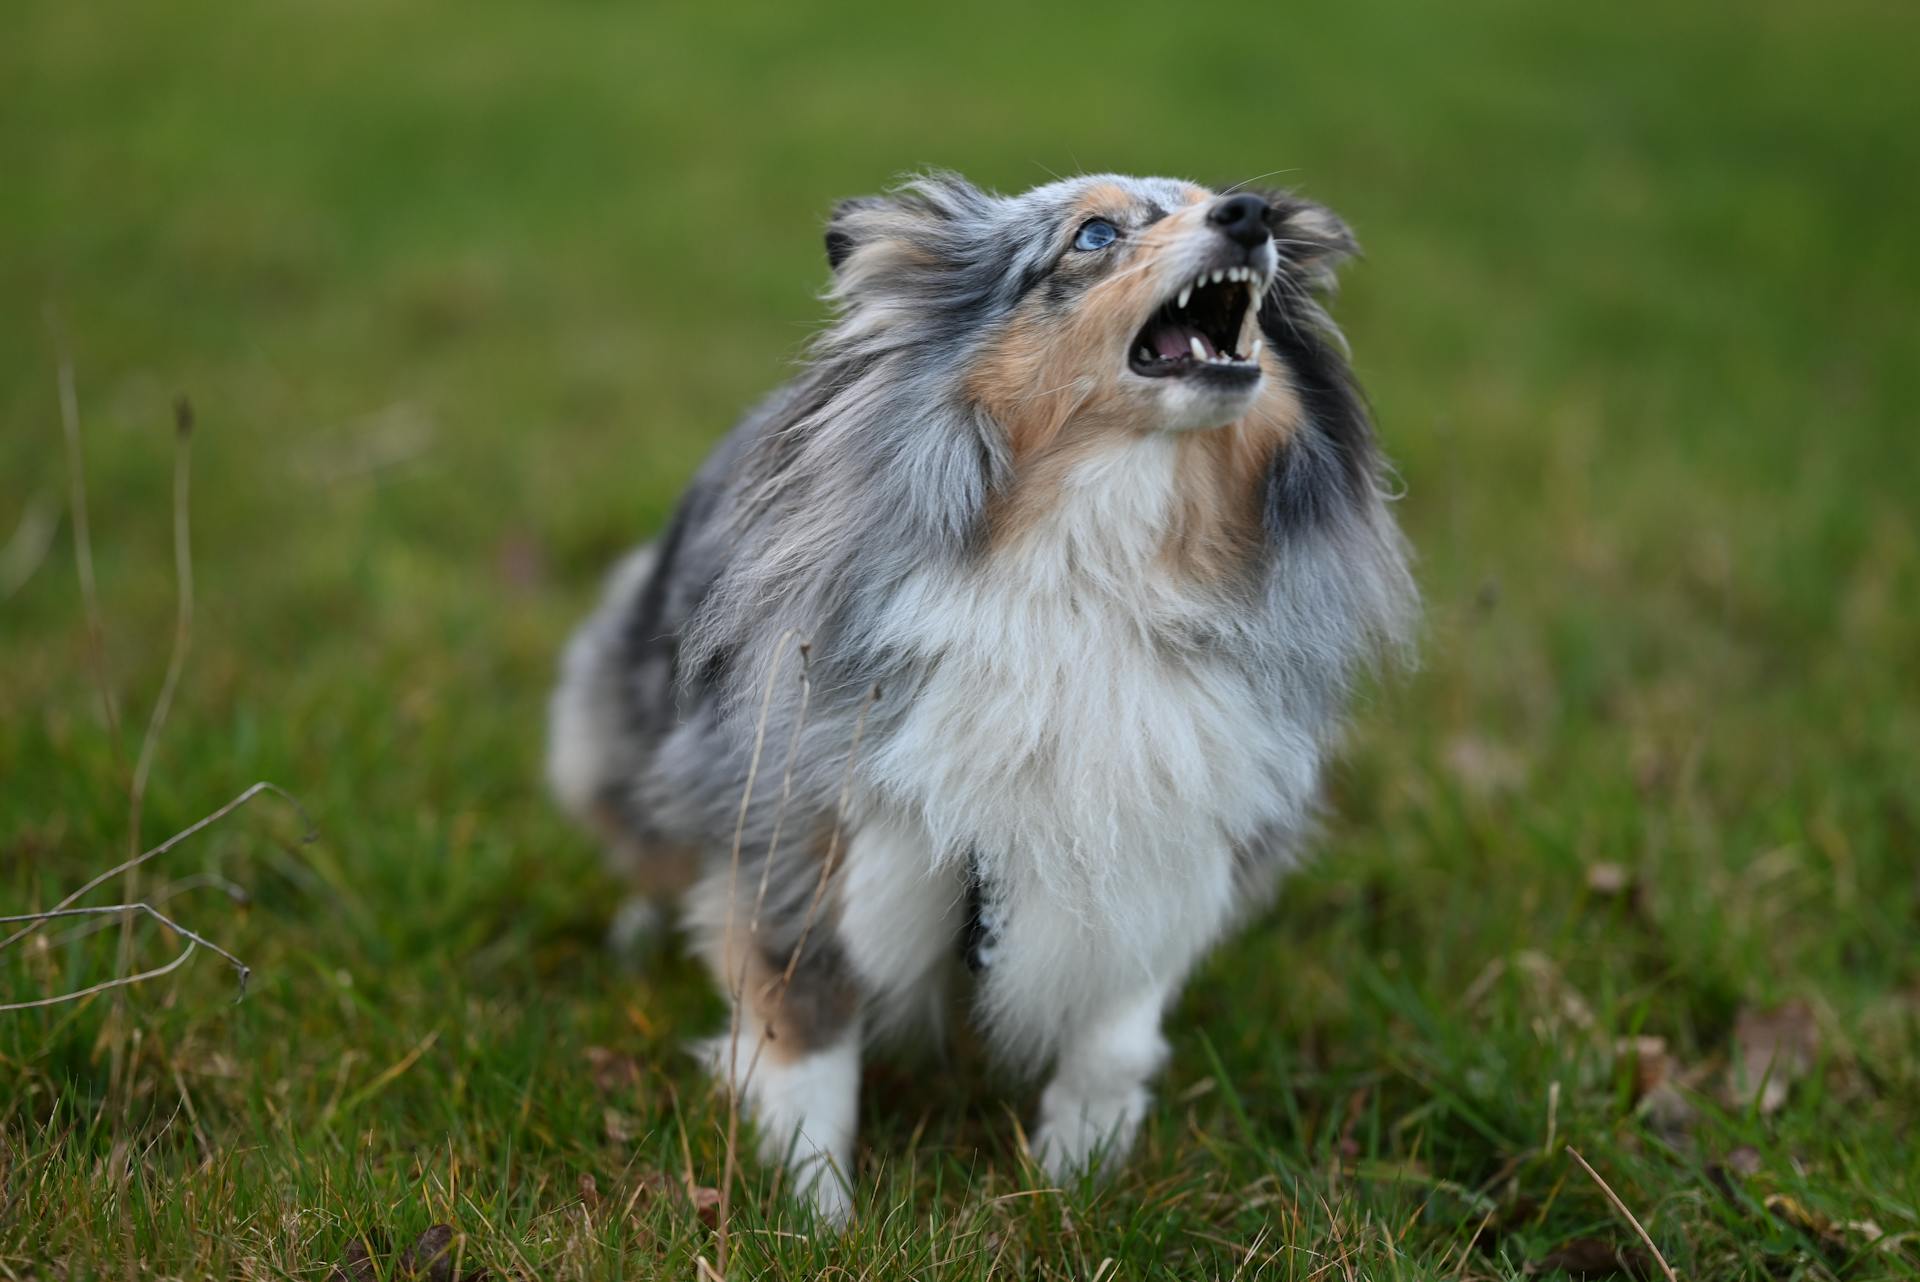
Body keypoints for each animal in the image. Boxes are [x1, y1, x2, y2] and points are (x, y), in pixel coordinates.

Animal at [549, 172, 1420, 1220]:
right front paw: (812, 1215)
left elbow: (1111, 1045)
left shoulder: (1163, 848)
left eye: (1216, 198)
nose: (1247, 214)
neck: (1099, 571)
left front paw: (1074, 1191)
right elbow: (807, 1050)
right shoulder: (806, 838)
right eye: (1094, 234)